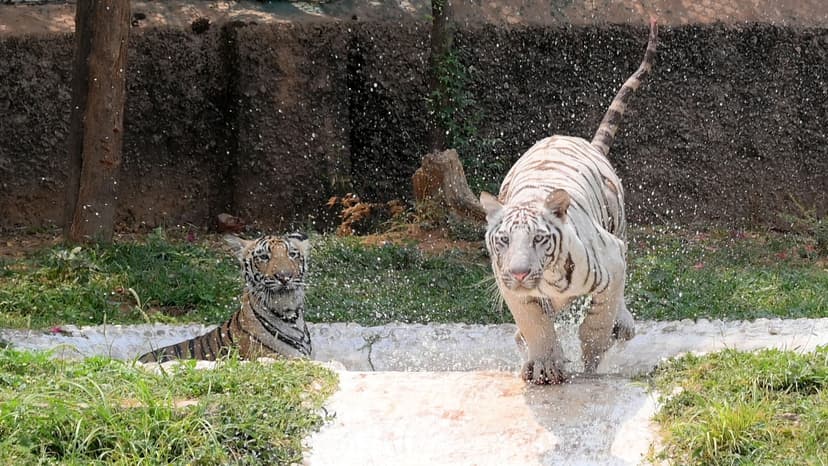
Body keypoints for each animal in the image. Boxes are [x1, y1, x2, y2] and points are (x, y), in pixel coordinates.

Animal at [479, 19, 658, 384]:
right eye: (503, 240)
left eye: (538, 238)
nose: (520, 273)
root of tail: (585, 143)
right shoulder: (510, 287)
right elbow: (535, 326)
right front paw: (544, 365)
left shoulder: (611, 259)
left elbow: (598, 321)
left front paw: (592, 359)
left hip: (619, 228)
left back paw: (623, 326)